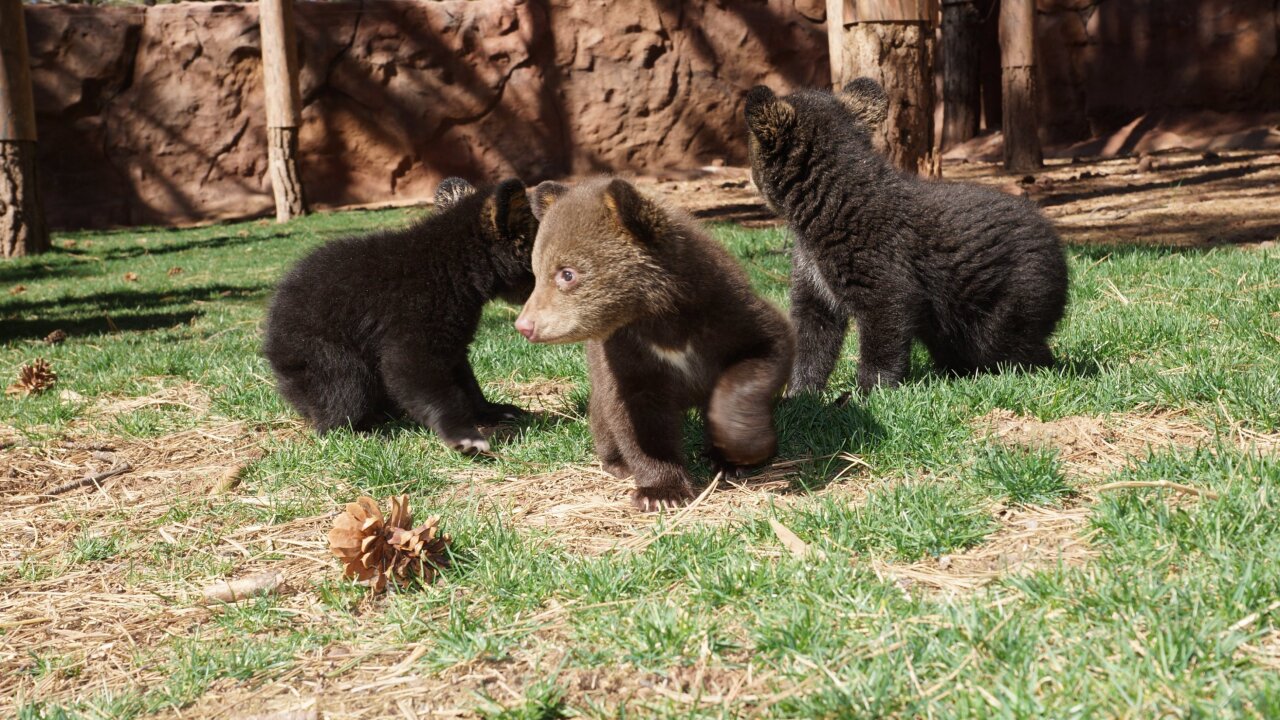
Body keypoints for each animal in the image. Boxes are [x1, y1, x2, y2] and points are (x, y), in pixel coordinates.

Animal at [262, 177, 538, 453]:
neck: (453, 267)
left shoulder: (452, 338)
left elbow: (464, 379)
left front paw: (492, 411)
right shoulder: (412, 321)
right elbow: (414, 372)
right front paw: (463, 434)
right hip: (322, 355)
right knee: (342, 391)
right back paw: (361, 430)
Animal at [513, 177, 796, 511]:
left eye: (567, 273)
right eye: (536, 272)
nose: (525, 325)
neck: (657, 319)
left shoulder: (727, 312)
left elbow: (764, 351)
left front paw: (739, 451)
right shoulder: (624, 354)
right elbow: (638, 416)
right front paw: (661, 493)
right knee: (602, 416)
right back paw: (618, 463)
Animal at [744, 78, 1069, 395]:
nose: (750, 177)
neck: (823, 211)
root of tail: (1055, 241)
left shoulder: (879, 263)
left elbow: (887, 319)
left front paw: (869, 390)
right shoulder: (815, 276)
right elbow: (813, 333)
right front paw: (799, 393)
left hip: (1010, 293)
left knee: (1008, 344)